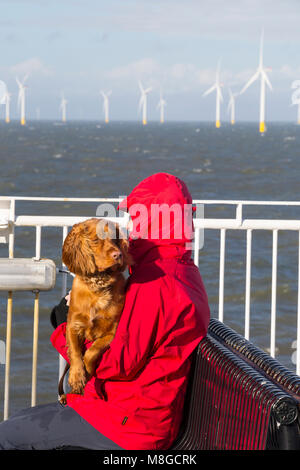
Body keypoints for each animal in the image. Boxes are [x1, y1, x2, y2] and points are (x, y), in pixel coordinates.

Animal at [59, 218, 132, 402]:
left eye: (115, 239)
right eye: (96, 240)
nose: (118, 255)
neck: (98, 286)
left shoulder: (111, 332)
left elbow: (91, 352)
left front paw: (88, 373)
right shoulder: (73, 325)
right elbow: (75, 352)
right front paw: (77, 377)